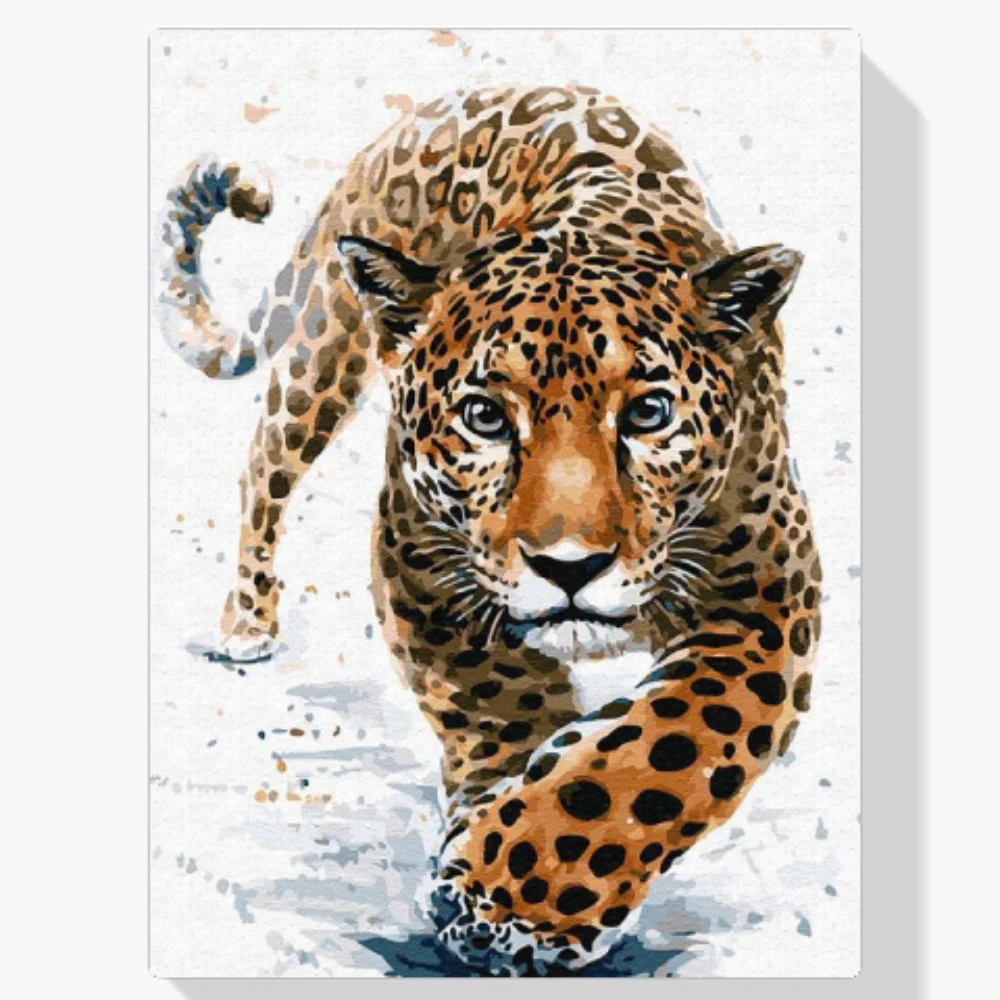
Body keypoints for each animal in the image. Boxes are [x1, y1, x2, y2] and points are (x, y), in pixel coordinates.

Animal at [155, 84, 821, 975]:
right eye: (484, 417)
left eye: (649, 412)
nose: (569, 566)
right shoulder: (419, 561)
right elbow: (503, 699)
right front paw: (496, 872)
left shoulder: (768, 597)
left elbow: (672, 744)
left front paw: (517, 896)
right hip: (323, 355)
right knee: (264, 467)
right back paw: (247, 621)